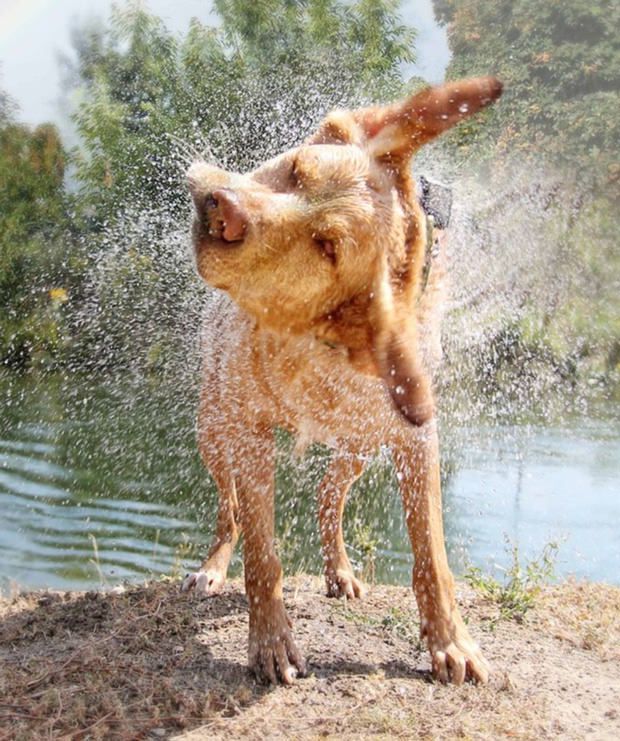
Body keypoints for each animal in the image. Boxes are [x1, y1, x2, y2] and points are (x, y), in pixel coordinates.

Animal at [182, 78, 502, 684]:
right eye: (295, 169)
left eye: (326, 246)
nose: (222, 207)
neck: (314, 338)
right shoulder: (251, 432)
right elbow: (263, 555)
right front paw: (271, 644)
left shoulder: (415, 437)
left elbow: (431, 553)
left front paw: (451, 642)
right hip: (213, 428)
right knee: (229, 509)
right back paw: (211, 568)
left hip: (360, 441)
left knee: (329, 492)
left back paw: (340, 570)